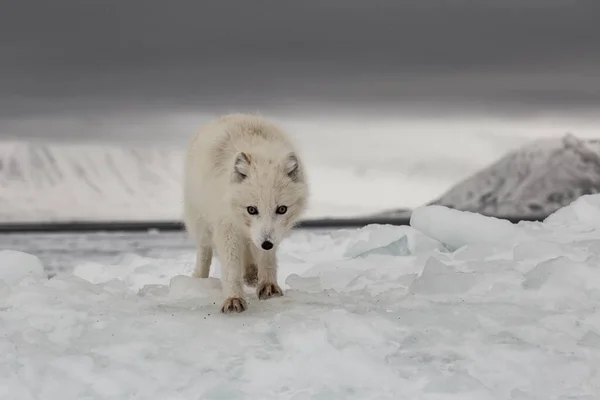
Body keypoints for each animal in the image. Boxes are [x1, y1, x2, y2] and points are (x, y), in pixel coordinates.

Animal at [183, 114, 310, 314]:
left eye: (282, 209)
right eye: (251, 209)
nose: (267, 243)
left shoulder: (270, 236)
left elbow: (267, 259)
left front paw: (268, 286)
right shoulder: (226, 227)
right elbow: (231, 267)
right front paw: (233, 298)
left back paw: (251, 274)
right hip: (200, 223)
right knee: (204, 250)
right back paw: (200, 279)